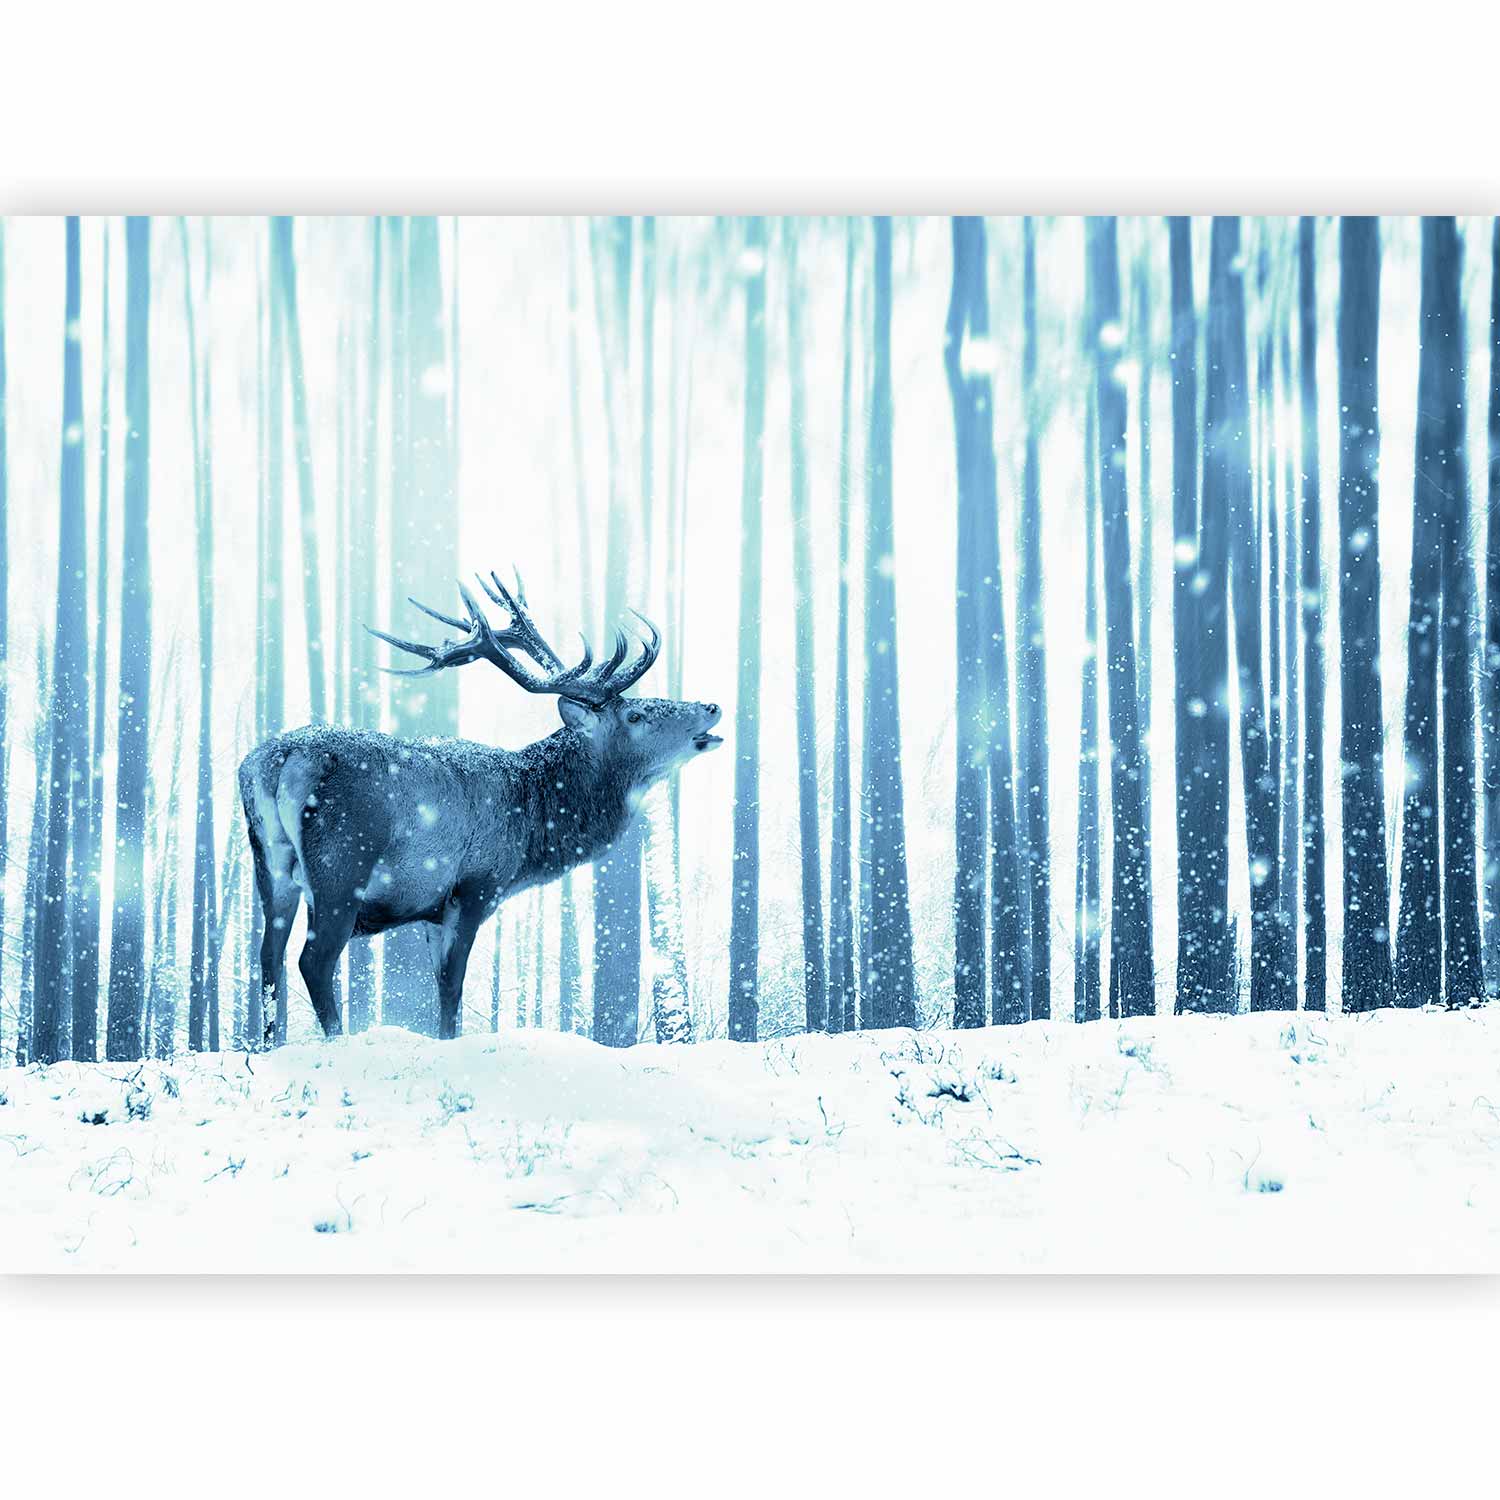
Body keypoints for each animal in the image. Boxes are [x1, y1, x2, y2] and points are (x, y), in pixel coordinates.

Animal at [238, 570, 721, 1043]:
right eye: (635, 716)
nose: (712, 706)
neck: (531, 829)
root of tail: (280, 759)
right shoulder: (475, 885)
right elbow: (453, 986)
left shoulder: (431, 910)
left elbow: (440, 987)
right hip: (342, 864)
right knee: (314, 960)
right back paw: (336, 1040)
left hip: (271, 865)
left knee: (268, 958)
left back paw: (270, 1044)